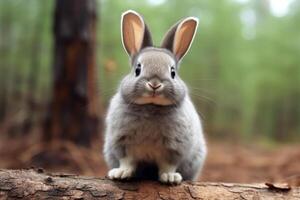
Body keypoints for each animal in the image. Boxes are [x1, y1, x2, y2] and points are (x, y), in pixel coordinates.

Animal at [103, 9, 206, 184]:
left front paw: (170, 177)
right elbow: (127, 161)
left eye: (173, 72)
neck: (150, 106)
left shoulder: (174, 148)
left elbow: (168, 165)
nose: (155, 84)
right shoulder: (122, 143)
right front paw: (121, 173)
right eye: (138, 69)